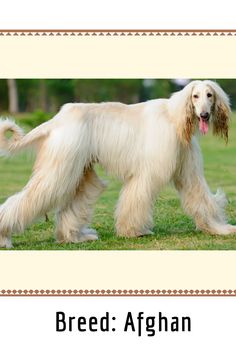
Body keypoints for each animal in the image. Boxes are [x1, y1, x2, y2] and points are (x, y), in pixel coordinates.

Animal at [0, 80, 235, 246]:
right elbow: (137, 197)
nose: (204, 115)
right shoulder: (148, 171)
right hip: (61, 165)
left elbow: (200, 195)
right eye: (195, 96)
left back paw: (74, 237)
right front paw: (133, 231)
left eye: (210, 95)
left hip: (80, 168)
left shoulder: (187, 169)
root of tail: (58, 118)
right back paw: (5, 237)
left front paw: (219, 228)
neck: (175, 118)